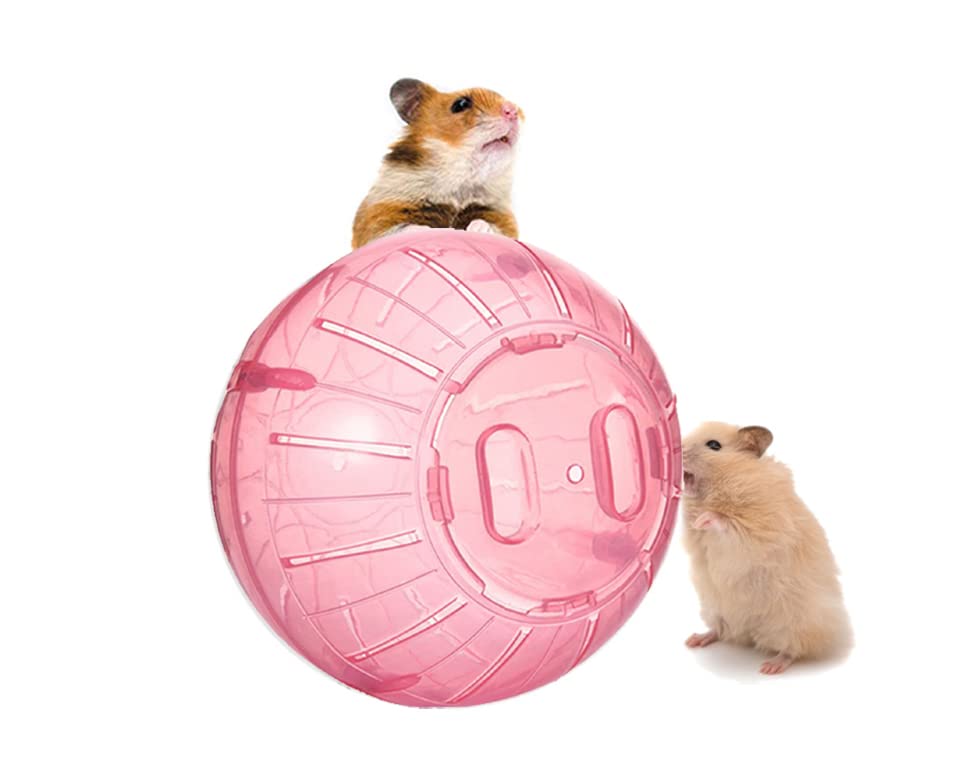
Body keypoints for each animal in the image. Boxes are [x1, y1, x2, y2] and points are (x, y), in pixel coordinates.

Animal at [352, 78, 523, 248]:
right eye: (461, 104)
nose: (514, 110)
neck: (458, 182)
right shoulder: (378, 214)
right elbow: (400, 229)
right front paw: (429, 232)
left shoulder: (498, 213)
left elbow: (493, 226)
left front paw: (477, 229)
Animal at [681, 422, 851, 674]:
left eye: (714, 445)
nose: (676, 450)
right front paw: (691, 514)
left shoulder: (757, 531)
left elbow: (728, 524)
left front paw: (704, 518)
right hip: (714, 607)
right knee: (721, 631)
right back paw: (694, 640)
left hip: (795, 620)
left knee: (793, 649)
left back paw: (771, 667)